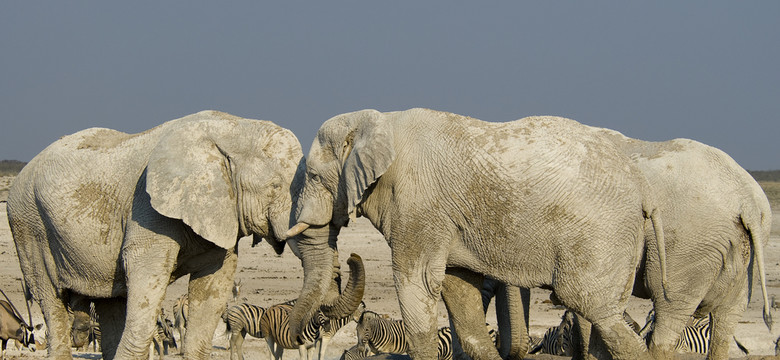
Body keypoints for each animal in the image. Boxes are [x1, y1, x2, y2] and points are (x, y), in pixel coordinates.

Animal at [5, 111, 342, 358]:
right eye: (275, 187)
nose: (299, 336)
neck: (231, 129)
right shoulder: (147, 209)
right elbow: (146, 283)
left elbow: (213, 287)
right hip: (28, 223)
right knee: (52, 302)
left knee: (111, 304)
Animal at [284, 108, 668, 358]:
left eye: (314, 176)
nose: (305, 335)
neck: (376, 121)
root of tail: (645, 189)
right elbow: (459, 290)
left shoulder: (419, 205)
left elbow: (417, 283)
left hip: (600, 234)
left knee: (595, 309)